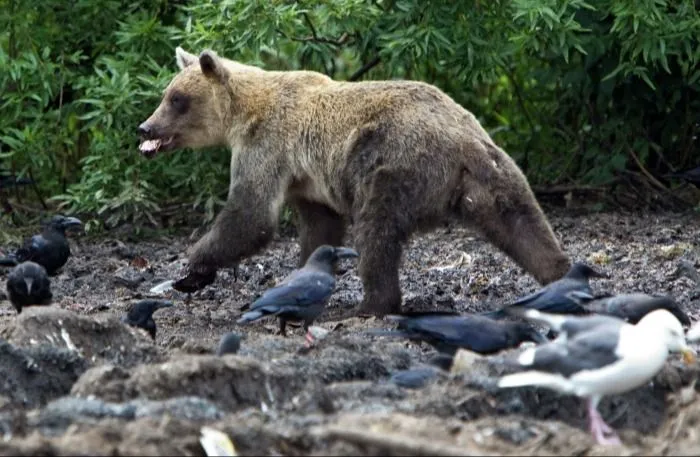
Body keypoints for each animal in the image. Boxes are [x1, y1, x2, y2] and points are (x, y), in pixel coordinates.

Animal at [139, 47, 572, 318]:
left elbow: (251, 216)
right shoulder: (308, 180)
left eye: (176, 99)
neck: (242, 115)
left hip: (390, 167)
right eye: (166, 93)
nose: (145, 127)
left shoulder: (267, 147)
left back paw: (370, 305)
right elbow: (319, 227)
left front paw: (192, 269)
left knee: (376, 232)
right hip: (494, 171)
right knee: (524, 223)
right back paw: (561, 274)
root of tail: (461, 142)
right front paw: (304, 273)